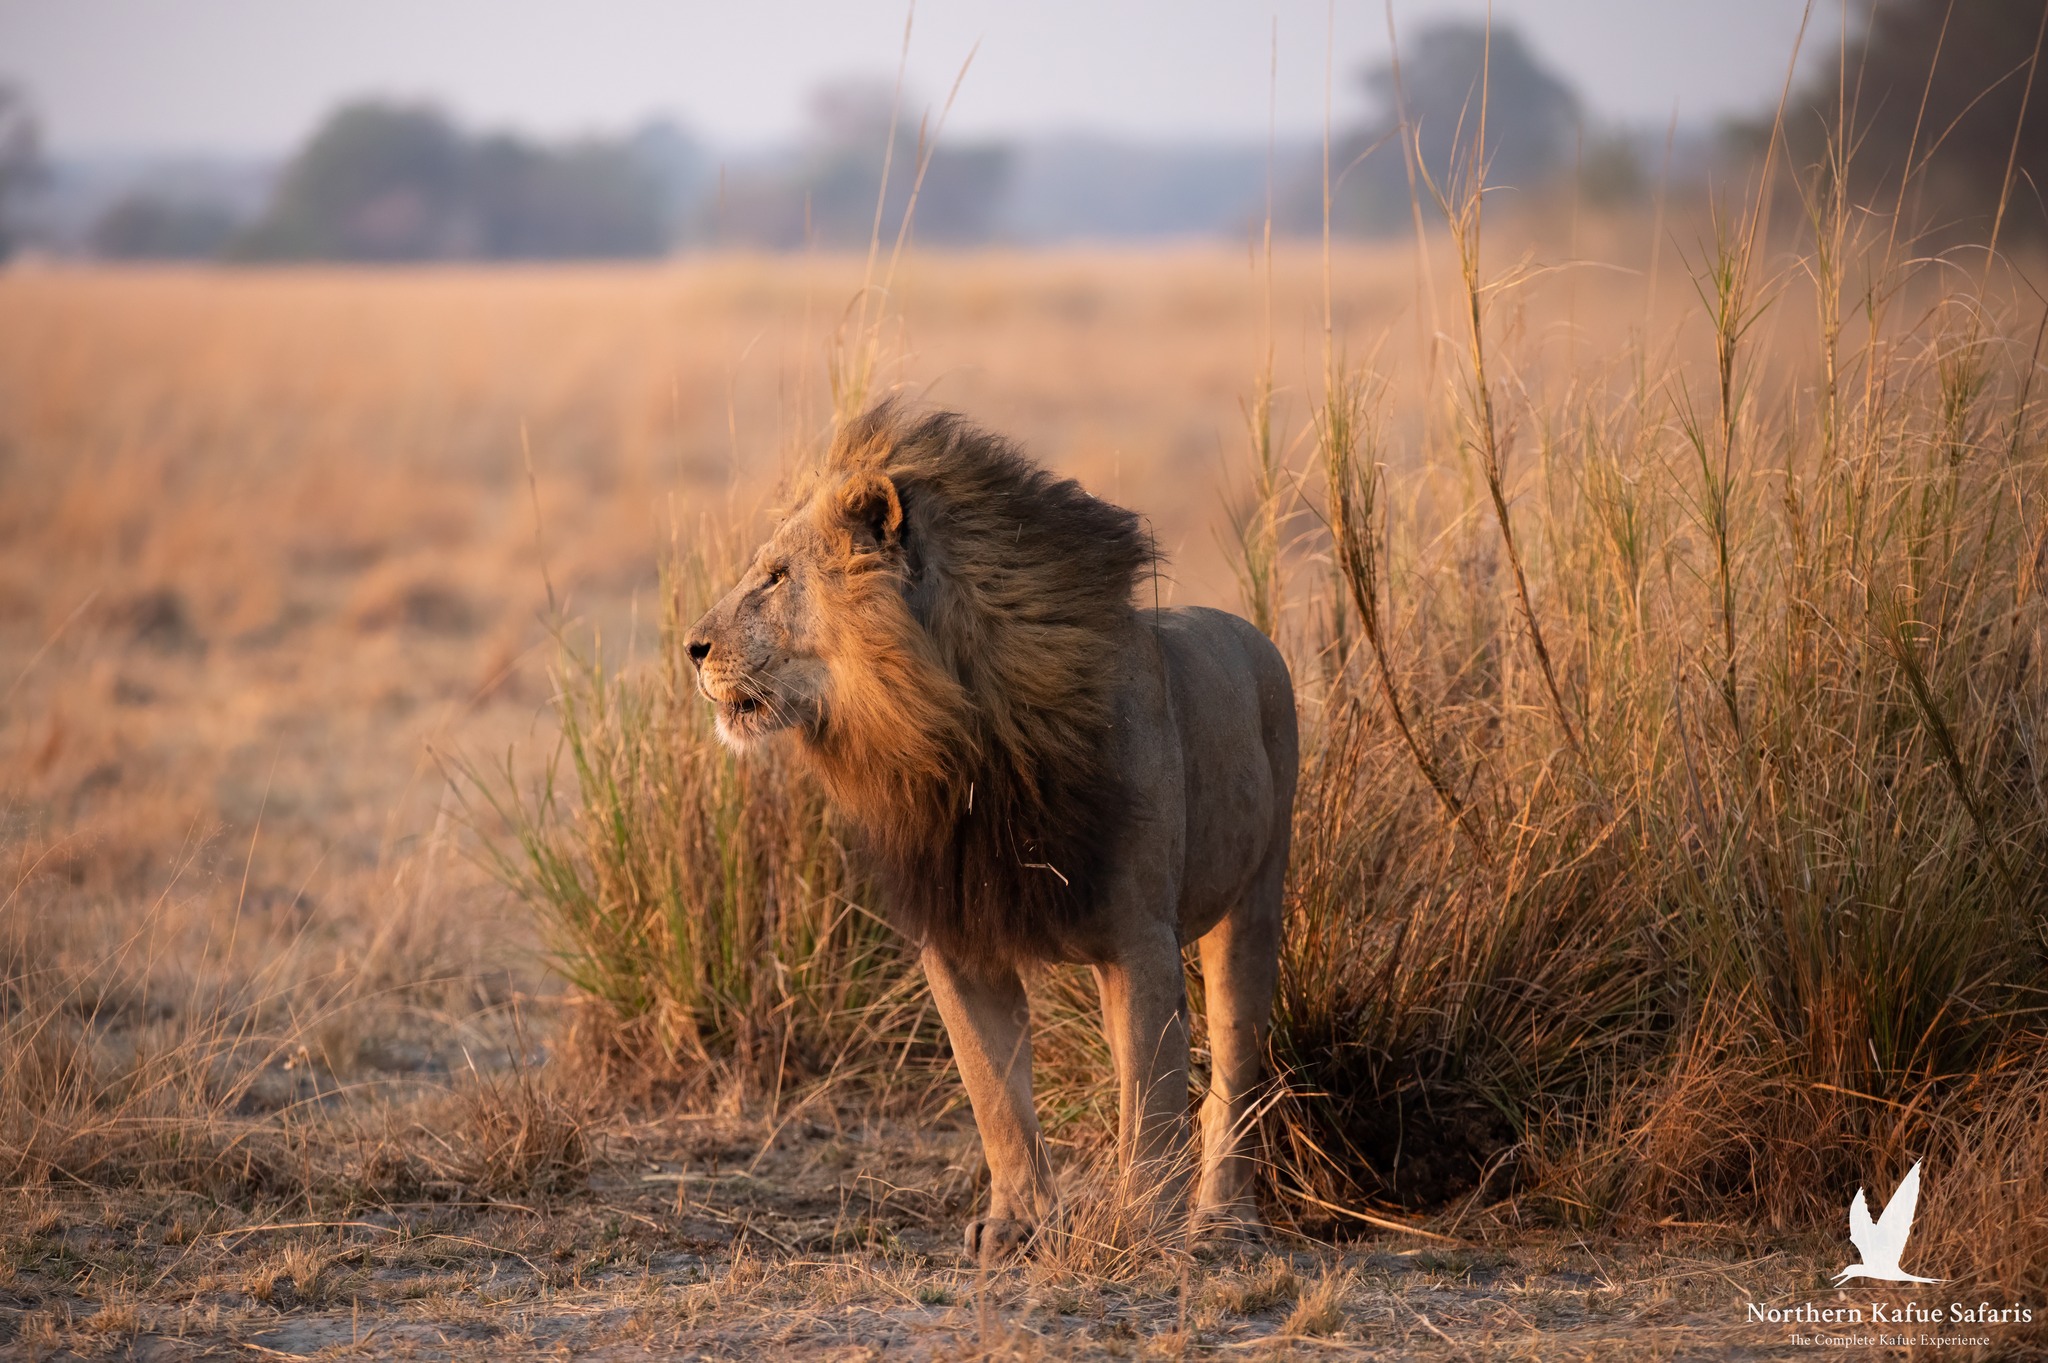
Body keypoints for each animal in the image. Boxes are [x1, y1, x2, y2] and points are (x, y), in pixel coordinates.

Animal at [685, 403, 1297, 1262]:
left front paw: (1141, 1226)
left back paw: (1224, 1219)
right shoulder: (960, 936)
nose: (692, 649)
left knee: (1234, 1068)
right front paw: (1016, 1223)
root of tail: (1253, 634)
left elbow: (1151, 1092)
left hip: (1255, 897)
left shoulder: (1141, 934)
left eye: (774, 577)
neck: (953, 738)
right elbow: (995, 1093)